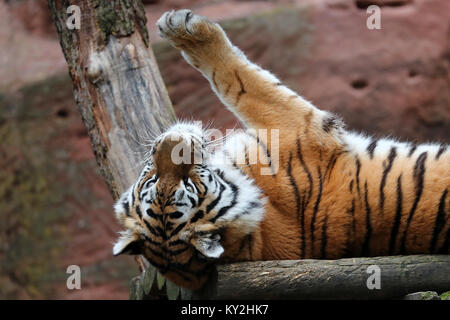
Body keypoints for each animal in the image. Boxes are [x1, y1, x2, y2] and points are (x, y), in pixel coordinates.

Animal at [111, 10, 446, 290]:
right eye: (187, 183)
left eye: (152, 178)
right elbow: (239, 82)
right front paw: (187, 29)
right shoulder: (300, 127)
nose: (172, 142)